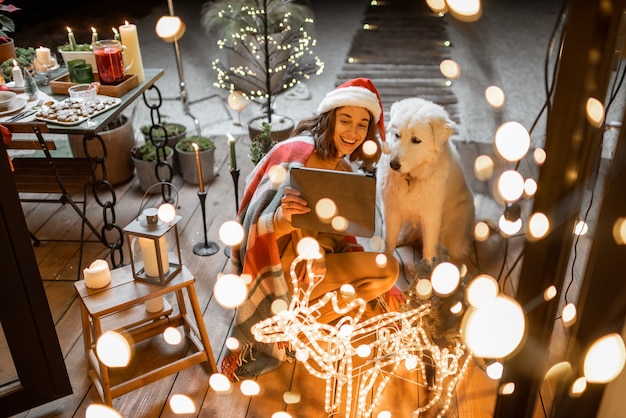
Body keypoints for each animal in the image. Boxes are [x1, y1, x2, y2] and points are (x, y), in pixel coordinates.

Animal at [376, 96, 472, 262]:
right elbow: (389, 241)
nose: (393, 165)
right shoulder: (391, 211)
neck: (410, 179)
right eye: (397, 135)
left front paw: (427, 266)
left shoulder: (430, 217)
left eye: (416, 140)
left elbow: (428, 247)